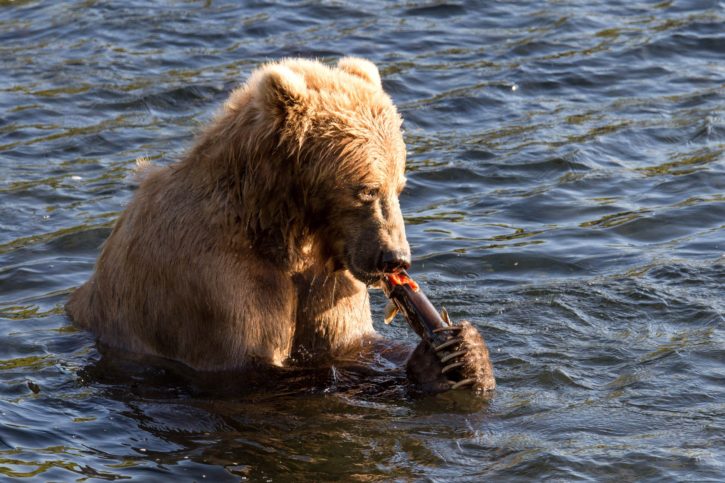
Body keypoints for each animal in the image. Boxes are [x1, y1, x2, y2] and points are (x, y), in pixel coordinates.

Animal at [65, 55, 492, 394]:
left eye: (400, 185)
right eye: (367, 190)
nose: (395, 259)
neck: (280, 230)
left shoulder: (326, 277)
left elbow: (351, 342)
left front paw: (467, 350)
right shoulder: (216, 279)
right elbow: (250, 369)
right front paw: (430, 362)